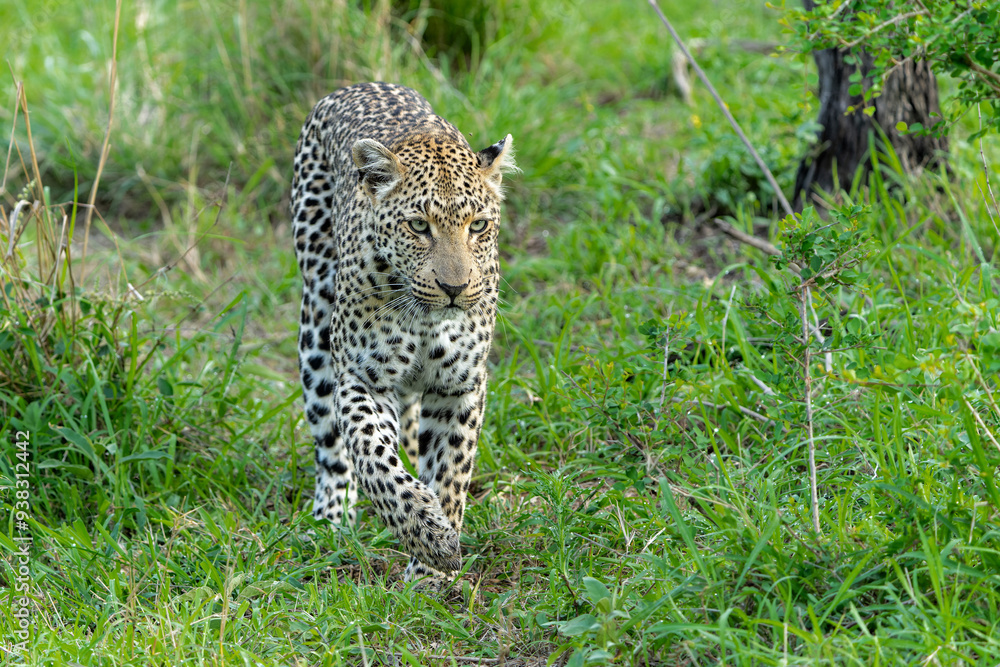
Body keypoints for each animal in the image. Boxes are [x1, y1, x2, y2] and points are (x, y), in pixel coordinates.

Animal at [290, 82, 516, 580]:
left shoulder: (458, 387)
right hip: (316, 322)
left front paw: (433, 570)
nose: (455, 289)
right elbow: (373, 456)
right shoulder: (364, 379)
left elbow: (450, 470)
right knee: (331, 448)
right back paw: (330, 522)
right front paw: (427, 534)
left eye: (479, 225)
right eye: (418, 226)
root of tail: (355, 85)